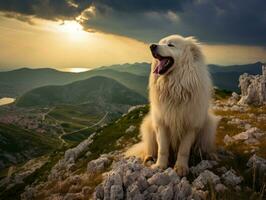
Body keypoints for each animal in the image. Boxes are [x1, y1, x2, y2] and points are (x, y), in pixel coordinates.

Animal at [128, 34, 219, 177]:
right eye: (160, 42)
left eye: (171, 45)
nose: (152, 46)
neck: (175, 86)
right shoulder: (161, 124)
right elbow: (162, 149)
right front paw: (160, 166)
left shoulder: (190, 126)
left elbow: (184, 150)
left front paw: (181, 167)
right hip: (148, 126)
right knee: (149, 149)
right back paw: (149, 158)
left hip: (209, 125)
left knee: (204, 147)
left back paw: (210, 154)